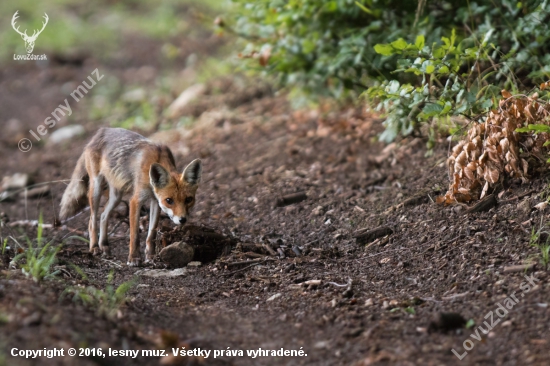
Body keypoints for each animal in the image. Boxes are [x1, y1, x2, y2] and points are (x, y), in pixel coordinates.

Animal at [60, 129, 203, 266]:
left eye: (188, 200)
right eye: (169, 201)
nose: (182, 220)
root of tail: (101, 131)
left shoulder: (155, 201)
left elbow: (151, 233)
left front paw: (150, 257)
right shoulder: (136, 200)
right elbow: (134, 235)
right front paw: (134, 258)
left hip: (116, 195)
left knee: (103, 215)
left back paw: (104, 246)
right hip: (96, 188)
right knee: (92, 220)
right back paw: (94, 247)